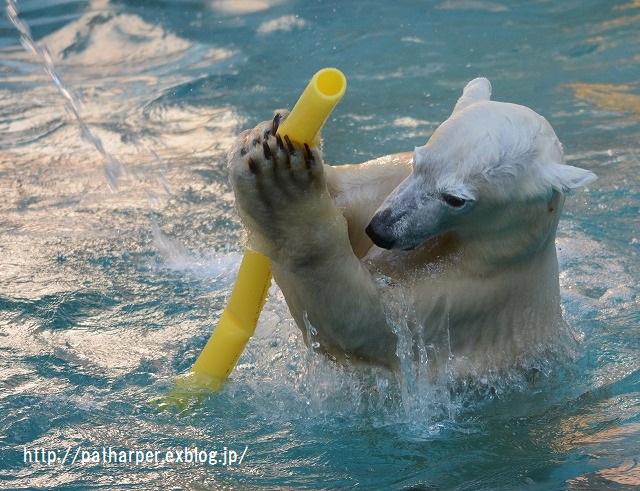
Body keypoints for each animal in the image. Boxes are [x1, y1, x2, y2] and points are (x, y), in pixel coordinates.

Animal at [228, 77, 596, 378]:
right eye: (419, 162)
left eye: (455, 199)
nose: (380, 230)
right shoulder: (393, 181)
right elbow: (353, 197)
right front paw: (264, 137)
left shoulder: (477, 291)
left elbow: (370, 323)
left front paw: (281, 185)